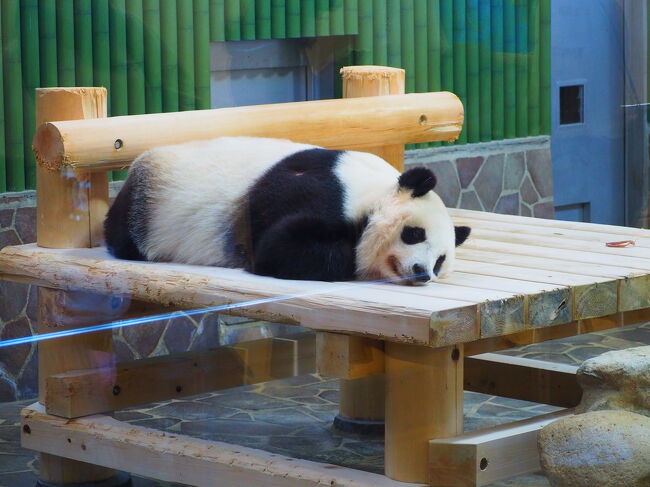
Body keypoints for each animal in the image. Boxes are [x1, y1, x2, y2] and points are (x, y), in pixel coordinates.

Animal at [104, 135, 468, 284]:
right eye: (414, 234)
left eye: (440, 261)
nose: (422, 272)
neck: (372, 192)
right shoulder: (322, 189)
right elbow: (277, 248)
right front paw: (355, 249)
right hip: (152, 206)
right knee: (125, 233)